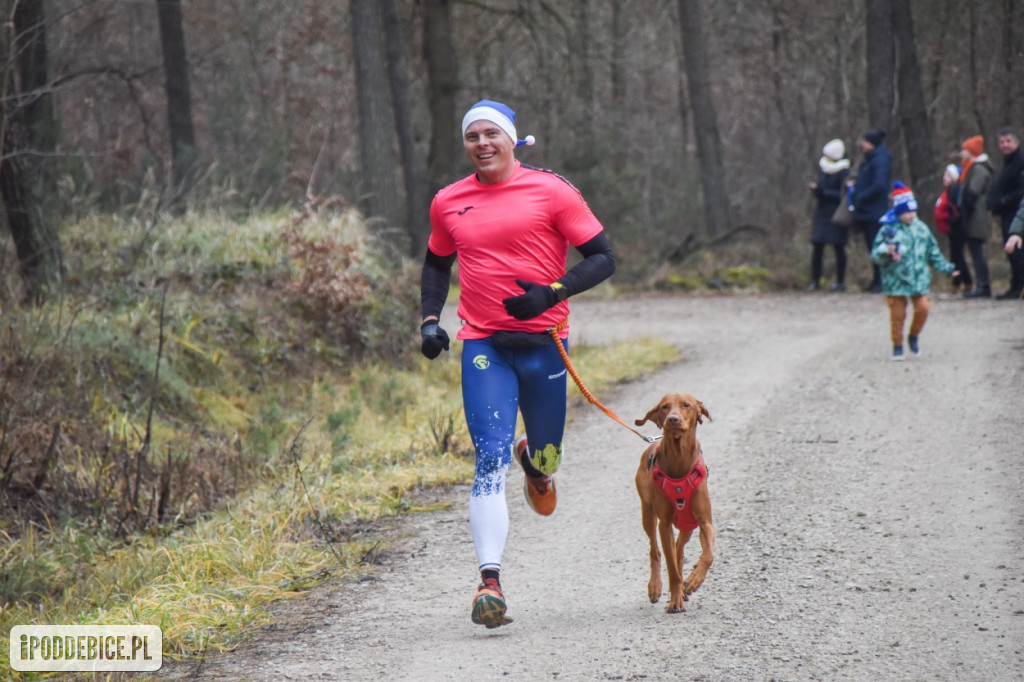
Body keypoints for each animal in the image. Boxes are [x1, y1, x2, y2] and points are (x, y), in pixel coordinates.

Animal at [630, 393, 712, 610]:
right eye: (665, 407)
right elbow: (671, 568)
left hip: (687, 526)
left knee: (678, 550)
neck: (679, 459)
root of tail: (652, 442)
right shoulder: (665, 524)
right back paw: (656, 586)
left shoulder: (705, 522)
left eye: (687, 405)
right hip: (648, 515)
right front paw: (675, 599)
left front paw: (694, 579)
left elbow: (708, 555)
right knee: (656, 551)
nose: (672, 419)